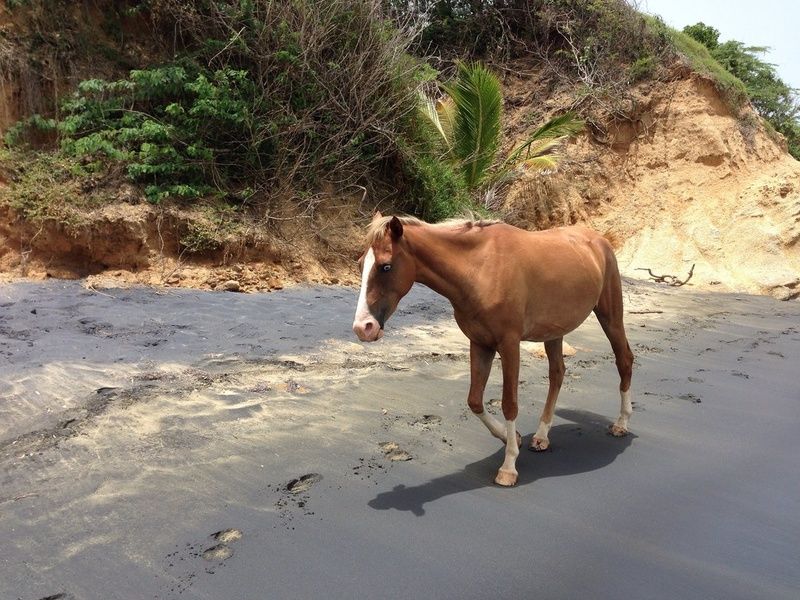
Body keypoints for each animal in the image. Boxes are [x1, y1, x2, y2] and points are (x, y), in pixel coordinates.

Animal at [350, 214, 632, 488]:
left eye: (386, 266)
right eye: (362, 264)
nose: (363, 328)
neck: (479, 269)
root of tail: (599, 240)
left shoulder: (509, 344)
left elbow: (509, 403)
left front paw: (508, 467)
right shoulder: (480, 343)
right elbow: (475, 400)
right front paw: (511, 437)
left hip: (610, 317)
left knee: (624, 360)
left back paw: (621, 423)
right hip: (554, 331)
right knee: (557, 374)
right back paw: (542, 436)